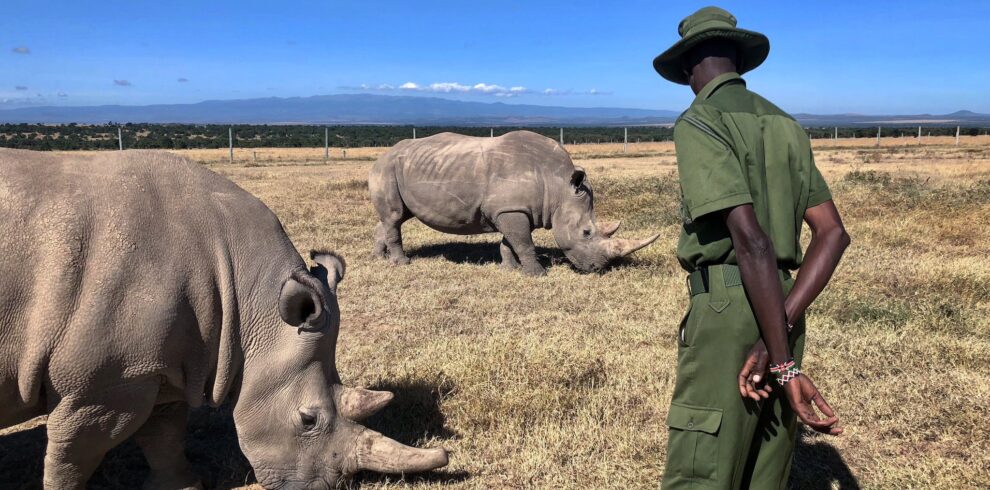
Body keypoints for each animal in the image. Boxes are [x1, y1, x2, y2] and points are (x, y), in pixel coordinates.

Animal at [0, 149, 446, 490]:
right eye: (308, 420)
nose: (323, 486)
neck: (248, 299)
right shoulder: (101, 385)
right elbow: (73, 455)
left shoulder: (155, 365)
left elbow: (164, 434)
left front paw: (182, 486)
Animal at [370, 130, 660, 276]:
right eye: (586, 233)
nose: (596, 269)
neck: (558, 186)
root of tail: (381, 156)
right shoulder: (512, 209)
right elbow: (524, 243)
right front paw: (538, 274)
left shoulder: (516, 209)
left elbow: (510, 242)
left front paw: (510, 269)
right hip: (387, 169)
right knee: (394, 217)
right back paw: (402, 264)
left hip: (402, 169)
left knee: (394, 217)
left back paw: (379, 258)